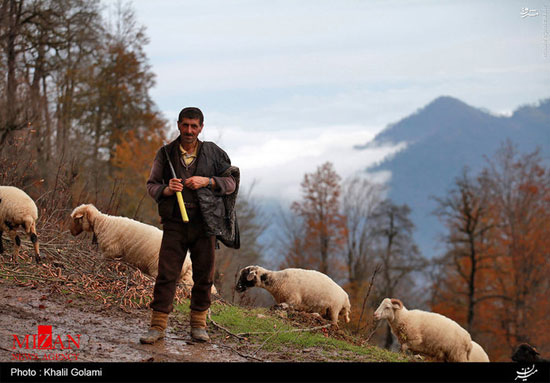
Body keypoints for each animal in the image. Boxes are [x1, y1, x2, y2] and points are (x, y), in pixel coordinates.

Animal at [68, 204, 217, 294]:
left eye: (75, 219)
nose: (71, 232)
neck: (102, 223)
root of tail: (188, 262)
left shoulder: (111, 253)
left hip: (158, 268)